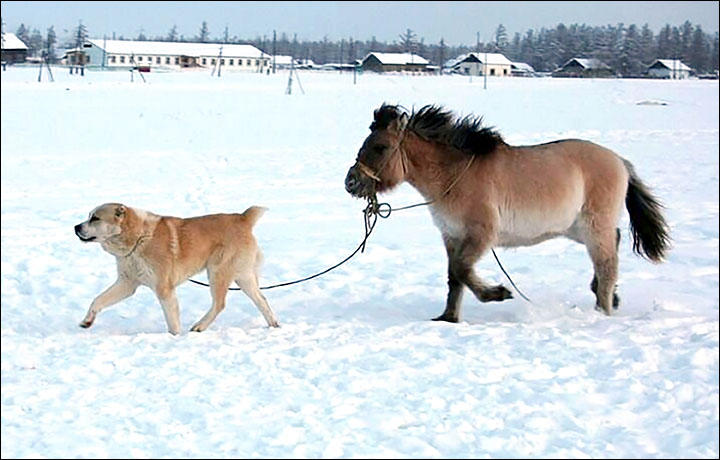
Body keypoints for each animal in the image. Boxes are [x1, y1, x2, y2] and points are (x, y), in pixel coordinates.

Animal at [74, 203, 278, 332]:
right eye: (89, 216)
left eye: (95, 218)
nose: (76, 227)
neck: (138, 238)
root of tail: (243, 218)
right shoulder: (127, 283)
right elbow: (98, 300)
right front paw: (87, 321)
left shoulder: (164, 289)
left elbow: (172, 321)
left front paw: (175, 338)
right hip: (243, 276)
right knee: (262, 300)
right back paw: (274, 324)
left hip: (218, 272)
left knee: (220, 304)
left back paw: (200, 326)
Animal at [344, 104, 668, 322]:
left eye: (380, 146)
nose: (351, 182)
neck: (454, 176)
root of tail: (620, 161)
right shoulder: (451, 236)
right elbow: (453, 277)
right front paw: (448, 318)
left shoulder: (481, 235)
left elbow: (463, 270)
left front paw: (498, 293)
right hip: (577, 230)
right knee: (613, 248)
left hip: (594, 229)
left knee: (607, 266)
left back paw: (603, 310)